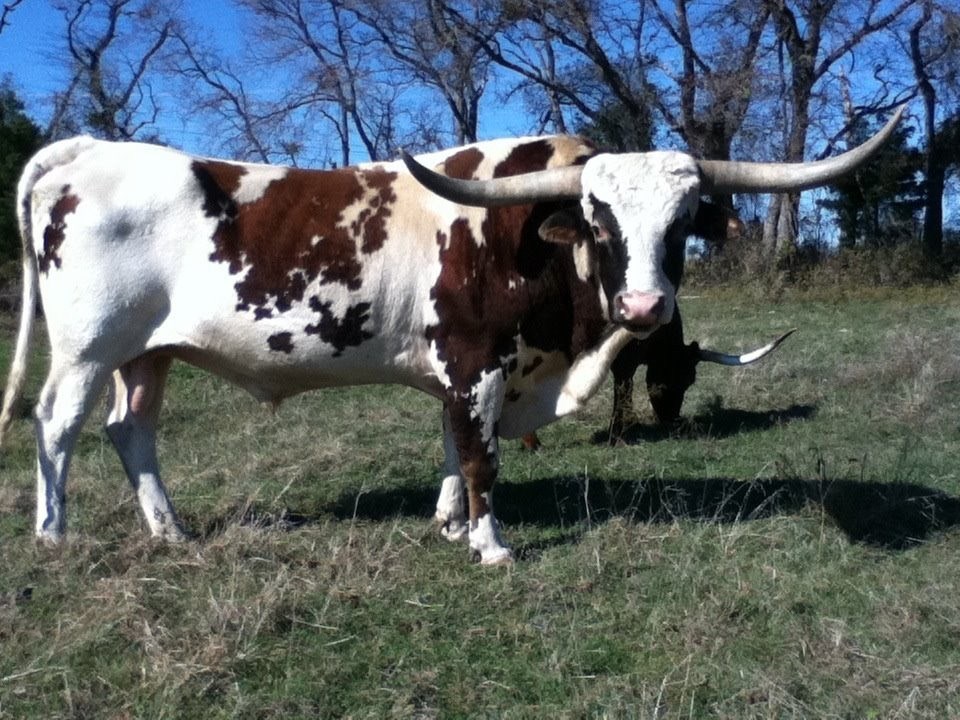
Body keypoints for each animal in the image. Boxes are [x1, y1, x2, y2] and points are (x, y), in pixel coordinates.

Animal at [0, 107, 901, 564]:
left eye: (682, 224)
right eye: (599, 219)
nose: (644, 307)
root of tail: (89, 152)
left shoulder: (462, 374)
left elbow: (450, 444)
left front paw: (450, 524)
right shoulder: (475, 364)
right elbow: (480, 456)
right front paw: (491, 543)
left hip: (145, 355)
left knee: (132, 430)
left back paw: (171, 530)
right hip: (86, 349)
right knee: (57, 425)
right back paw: (54, 534)